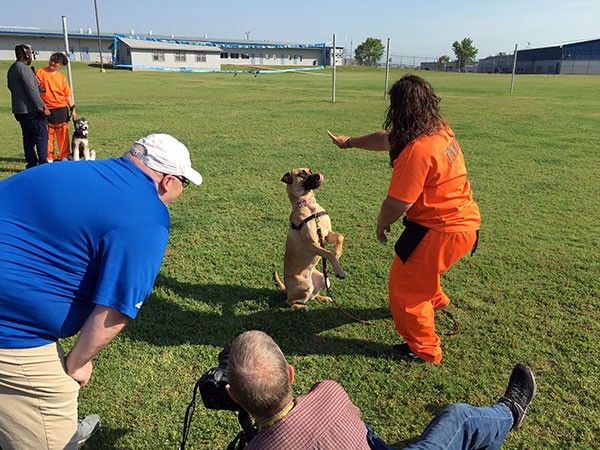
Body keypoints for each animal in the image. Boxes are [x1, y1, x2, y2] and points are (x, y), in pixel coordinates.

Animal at [274, 169, 344, 310]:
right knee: (289, 301)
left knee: (311, 296)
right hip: (304, 285)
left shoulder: (326, 235)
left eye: (310, 171)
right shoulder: (312, 243)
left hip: (324, 280)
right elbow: (328, 253)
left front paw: (338, 252)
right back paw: (301, 307)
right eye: (302, 173)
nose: (319, 175)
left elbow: (340, 236)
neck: (307, 205)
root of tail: (287, 289)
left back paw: (324, 298)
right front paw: (339, 270)